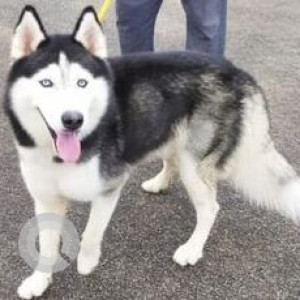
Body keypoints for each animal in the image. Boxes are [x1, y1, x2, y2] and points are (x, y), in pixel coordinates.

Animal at [4, 5, 300, 300]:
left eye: (82, 83)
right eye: (46, 83)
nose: (73, 120)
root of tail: (237, 71)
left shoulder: (109, 187)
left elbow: (91, 232)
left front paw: (87, 262)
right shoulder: (46, 197)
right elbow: (46, 245)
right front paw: (39, 281)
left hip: (195, 164)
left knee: (209, 207)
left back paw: (192, 249)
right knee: (173, 161)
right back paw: (159, 182)